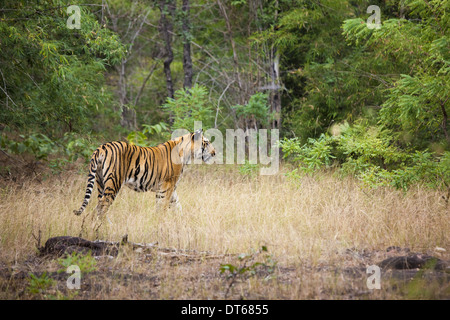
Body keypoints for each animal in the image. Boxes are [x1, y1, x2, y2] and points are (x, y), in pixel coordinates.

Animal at [72, 128, 216, 230]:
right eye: (207, 142)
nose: (214, 153)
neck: (186, 154)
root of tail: (101, 147)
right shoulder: (167, 185)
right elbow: (163, 207)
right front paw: (161, 224)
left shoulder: (171, 188)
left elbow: (177, 206)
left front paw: (183, 223)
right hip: (114, 182)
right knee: (102, 206)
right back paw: (103, 228)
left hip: (100, 182)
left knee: (99, 205)